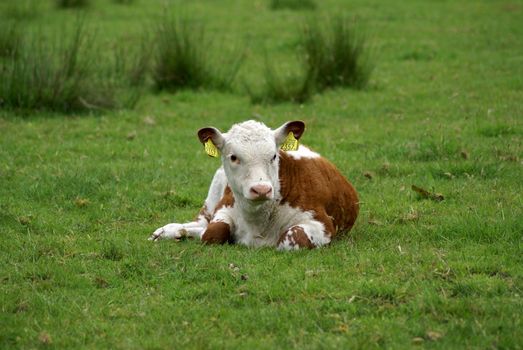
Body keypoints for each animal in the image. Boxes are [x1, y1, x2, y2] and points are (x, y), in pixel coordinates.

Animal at [149, 119, 358, 249]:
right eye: (233, 157)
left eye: (274, 156)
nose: (262, 189)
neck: (258, 222)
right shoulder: (223, 208)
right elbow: (212, 234)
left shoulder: (322, 222)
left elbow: (291, 239)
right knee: (201, 223)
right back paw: (167, 230)